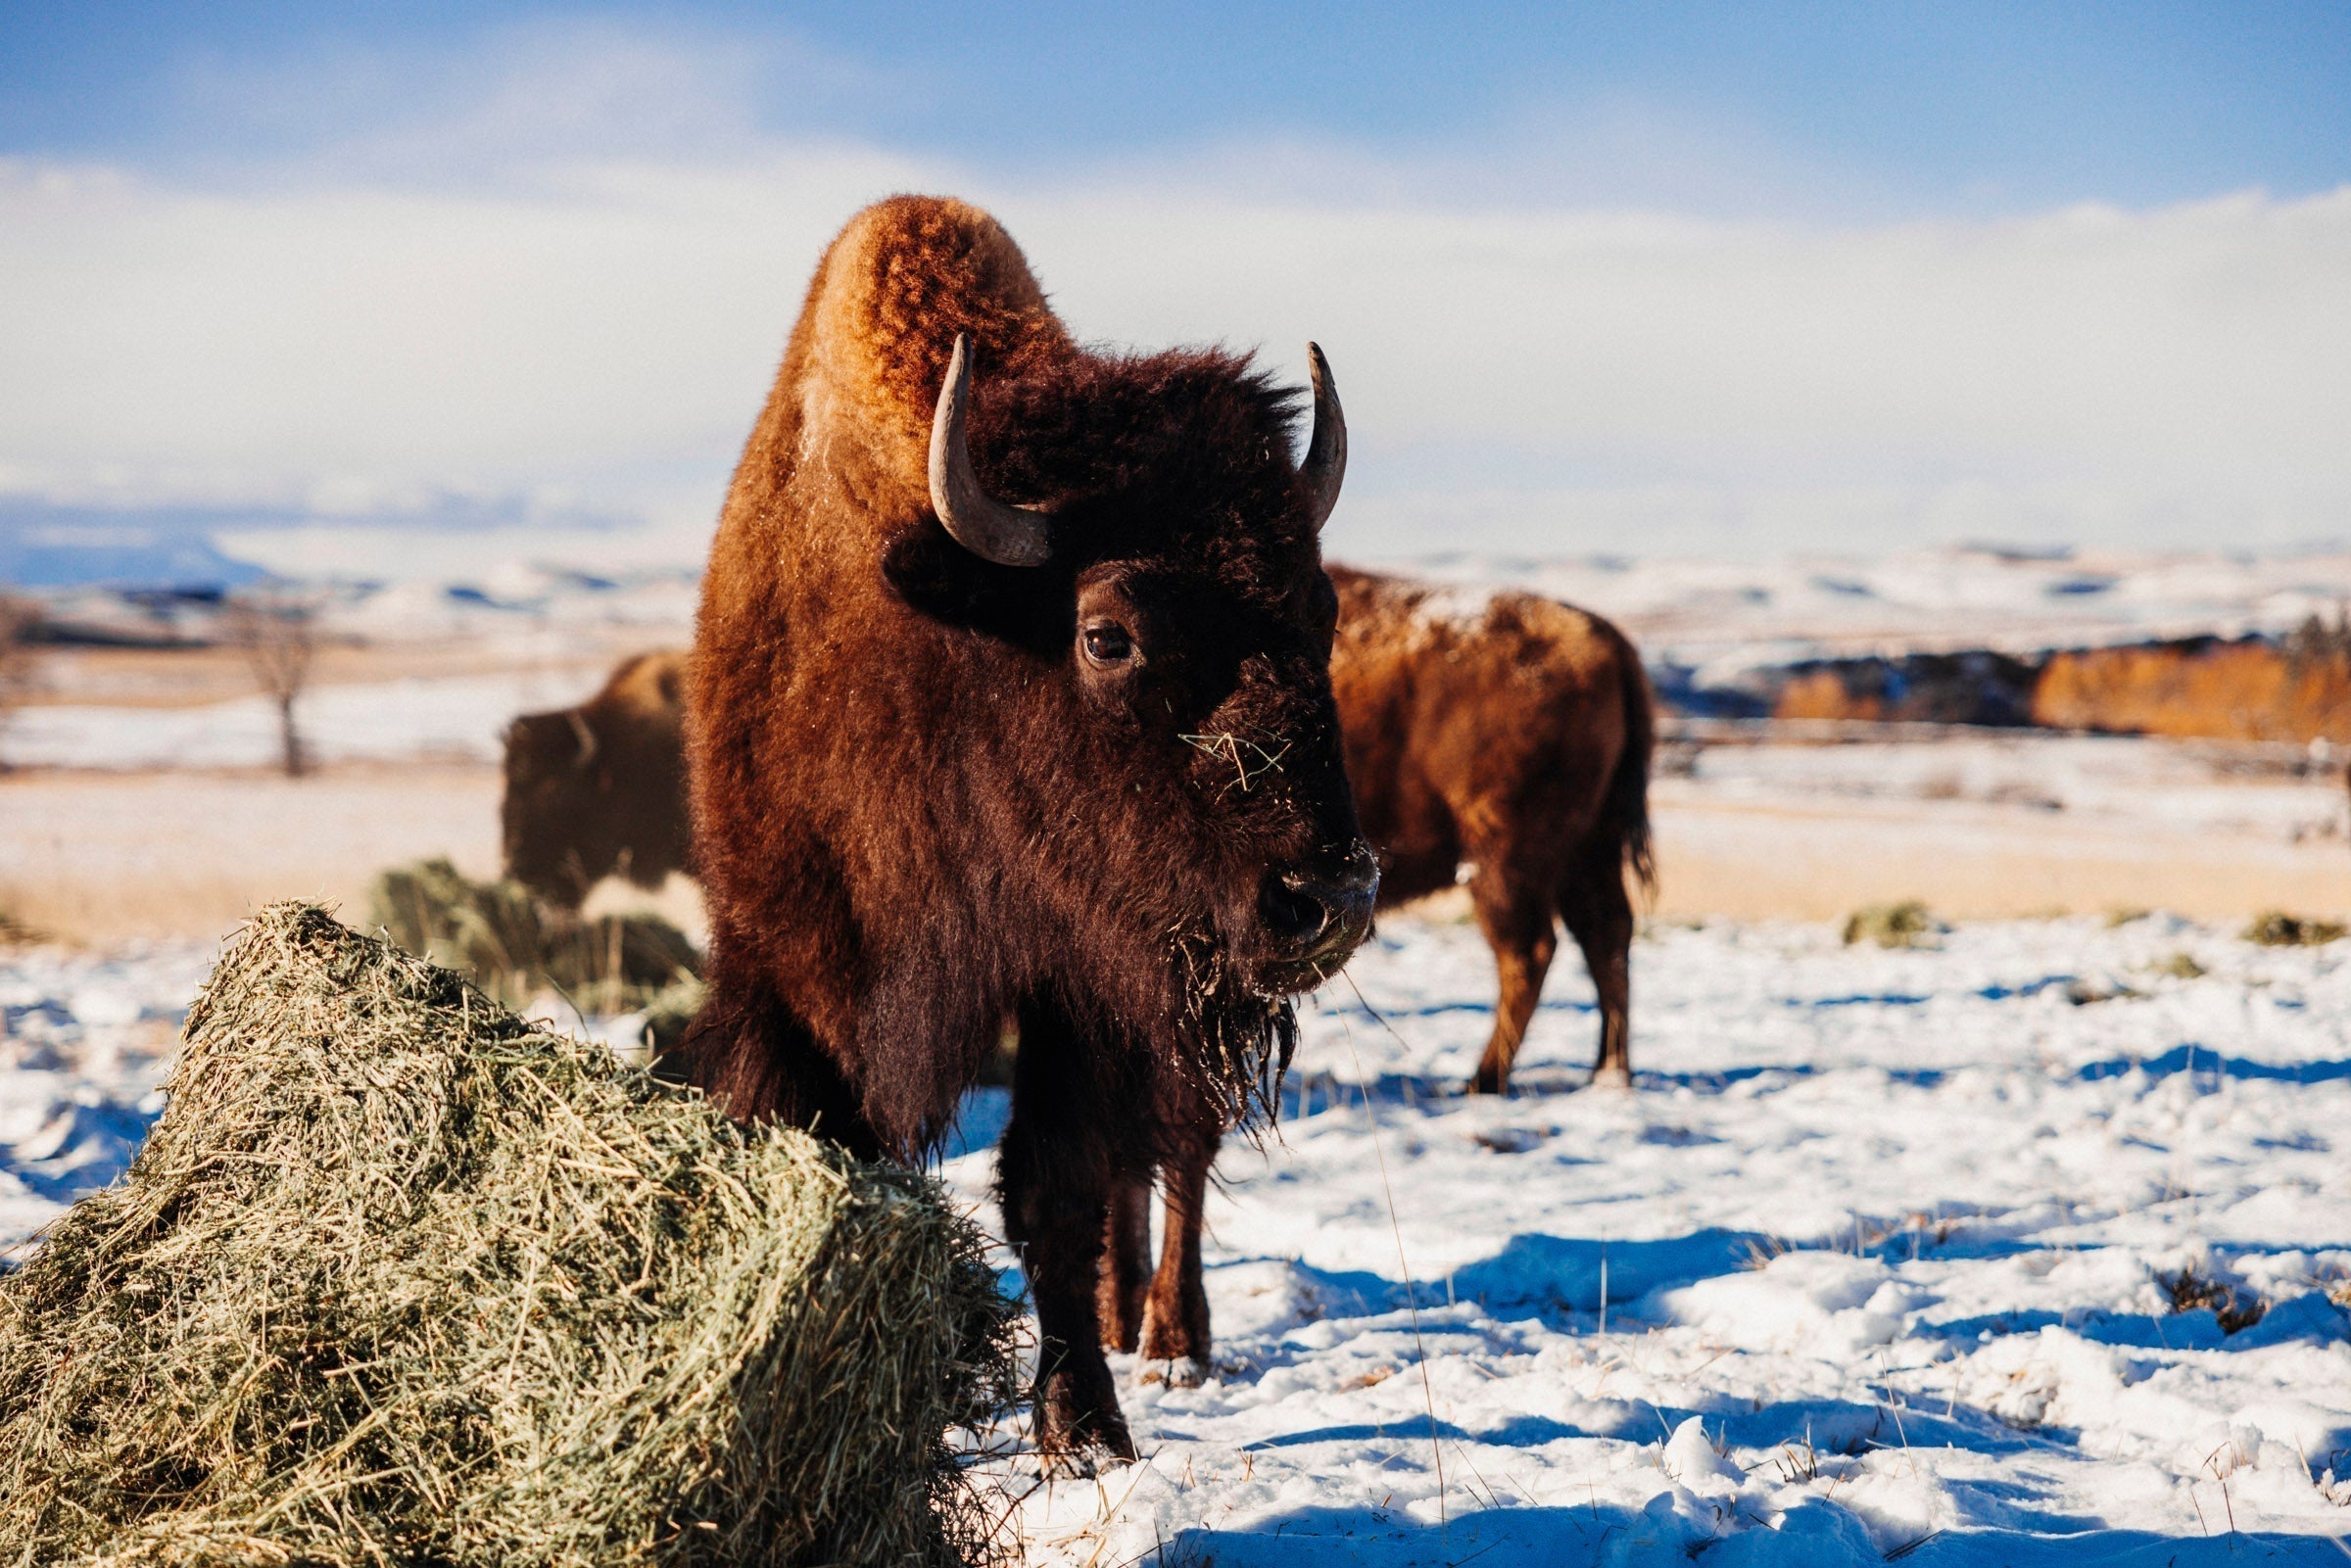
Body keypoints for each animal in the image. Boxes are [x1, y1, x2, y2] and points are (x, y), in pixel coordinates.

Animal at [655, 196, 1375, 1473]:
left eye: (1323, 608)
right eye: (1107, 634)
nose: (1327, 897)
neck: (947, 631)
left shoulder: (1082, 984)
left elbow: (1059, 1188)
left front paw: (1086, 1432)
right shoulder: (789, 972)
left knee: (1173, 1160)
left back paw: (1168, 1338)